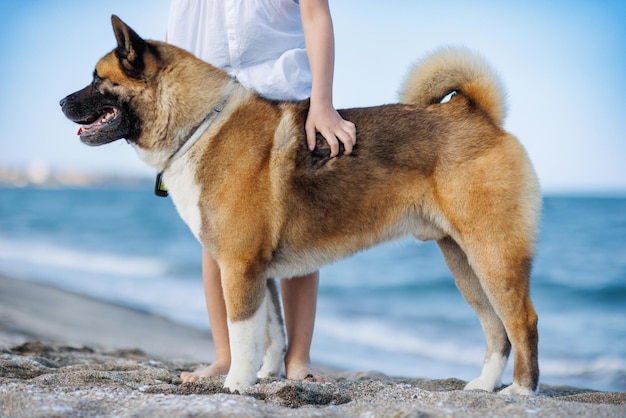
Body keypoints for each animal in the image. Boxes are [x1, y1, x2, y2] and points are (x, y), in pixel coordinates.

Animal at [62, 16, 540, 396]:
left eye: (98, 79)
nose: (62, 101)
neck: (201, 126)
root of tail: (475, 113)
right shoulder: (259, 271)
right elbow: (272, 333)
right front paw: (265, 378)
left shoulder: (239, 266)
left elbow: (243, 332)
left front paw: (236, 384)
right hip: (463, 261)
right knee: (496, 329)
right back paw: (484, 385)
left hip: (493, 256)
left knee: (523, 321)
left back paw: (521, 391)